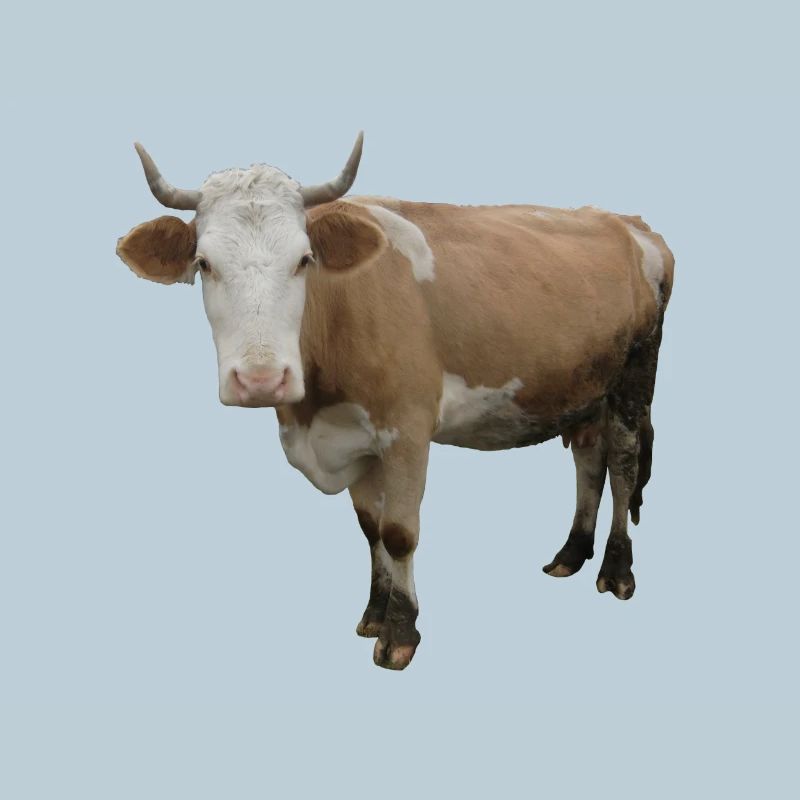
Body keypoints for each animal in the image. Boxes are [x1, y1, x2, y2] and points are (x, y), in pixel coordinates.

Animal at [116, 133, 674, 670]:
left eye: (304, 260)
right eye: (204, 263)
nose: (260, 379)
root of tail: (629, 223)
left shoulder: (407, 429)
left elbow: (400, 533)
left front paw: (401, 634)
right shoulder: (353, 438)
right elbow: (372, 531)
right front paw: (374, 614)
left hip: (635, 376)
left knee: (623, 467)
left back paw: (617, 572)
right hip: (583, 385)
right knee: (588, 461)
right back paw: (571, 554)